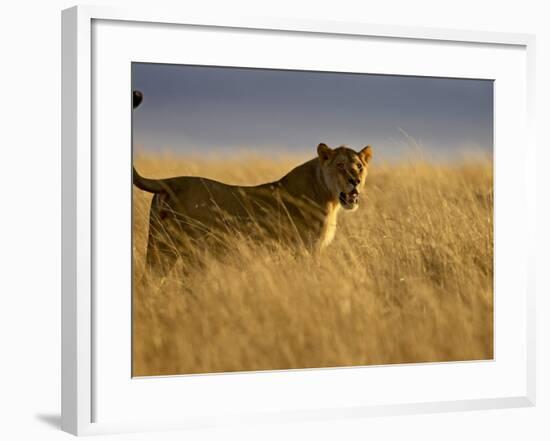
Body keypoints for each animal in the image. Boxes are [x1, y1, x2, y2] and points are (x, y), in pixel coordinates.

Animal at [134, 91, 376, 274]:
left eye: (359, 166)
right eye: (341, 166)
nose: (355, 181)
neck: (328, 196)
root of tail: (170, 182)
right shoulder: (304, 250)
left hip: (157, 248)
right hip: (181, 251)